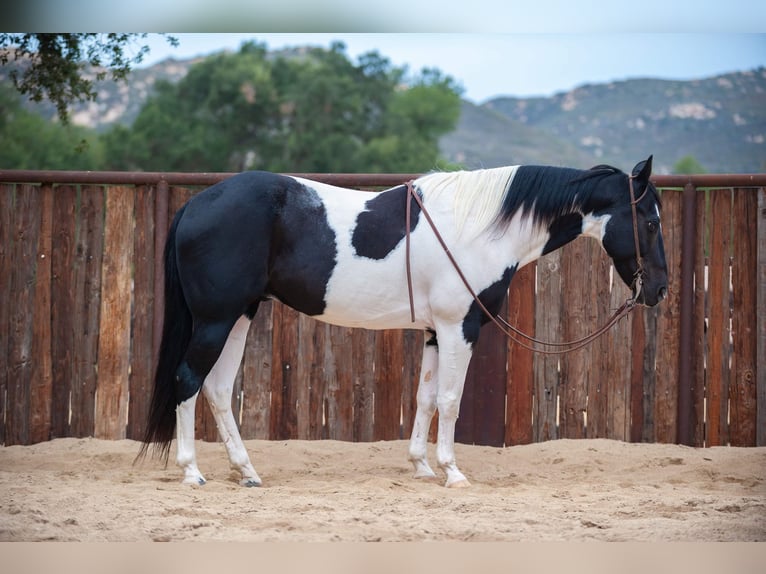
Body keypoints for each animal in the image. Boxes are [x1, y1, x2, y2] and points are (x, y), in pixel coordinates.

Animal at [141, 156, 668, 490]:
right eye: (650, 222)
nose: (659, 290)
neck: (478, 230)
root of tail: (195, 204)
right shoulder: (461, 327)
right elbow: (451, 401)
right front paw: (453, 472)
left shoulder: (436, 332)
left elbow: (426, 398)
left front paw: (422, 467)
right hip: (215, 319)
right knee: (188, 381)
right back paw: (191, 472)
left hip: (239, 316)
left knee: (216, 388)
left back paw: (246, 471)